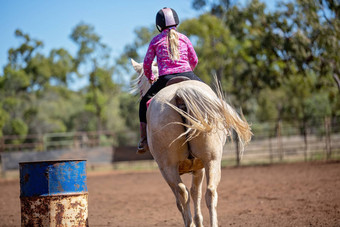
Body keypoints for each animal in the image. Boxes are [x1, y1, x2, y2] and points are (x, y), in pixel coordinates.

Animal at [131, 59, 251, 227]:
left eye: (141, 84)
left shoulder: (174, 171)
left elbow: (185, 198)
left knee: (183, 193)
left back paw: (190, 223)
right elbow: (196, 192)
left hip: (168, 167)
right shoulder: (199, 167)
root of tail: (180, 93)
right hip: (212, 160)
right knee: (209, 192)